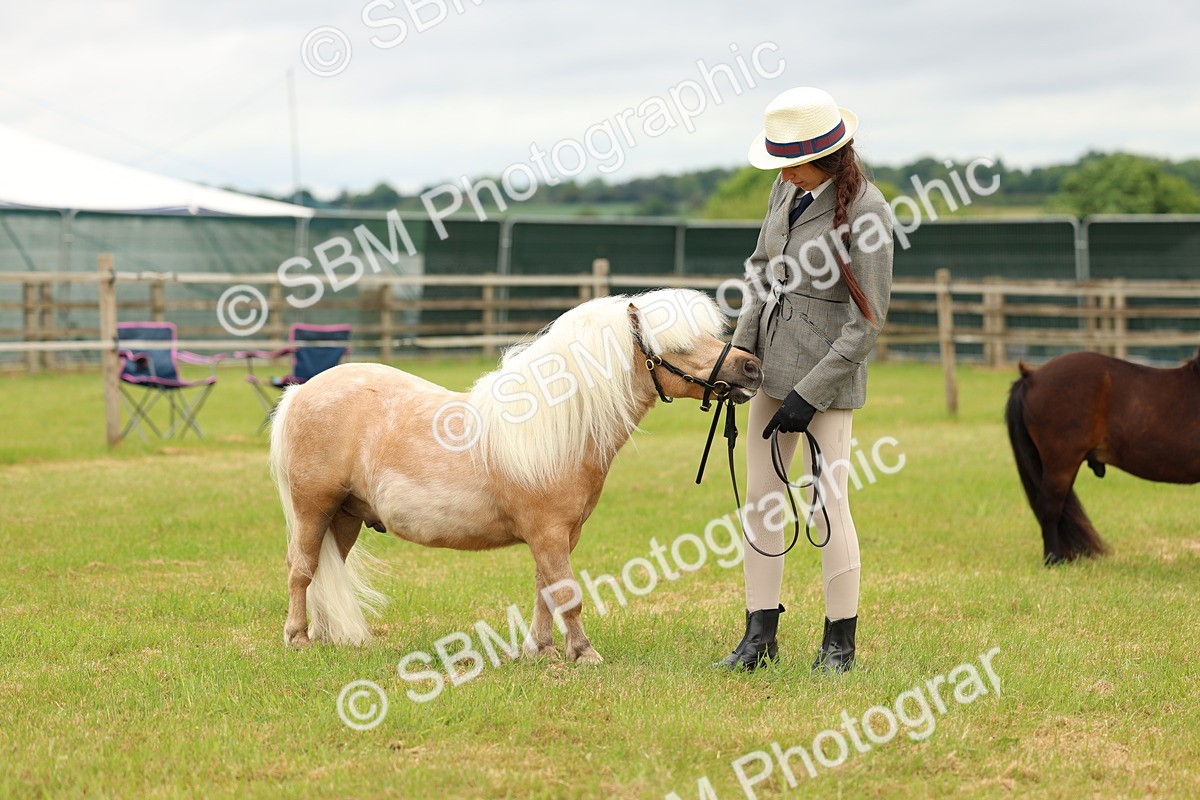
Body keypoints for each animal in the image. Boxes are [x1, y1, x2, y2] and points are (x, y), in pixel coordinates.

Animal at [269, 288, 763, 662]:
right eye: (677, 345)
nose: (752, 367)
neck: (559, 428)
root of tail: (300, 393)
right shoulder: (548, 533)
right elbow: (568, 594)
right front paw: (585, 653)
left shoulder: (560, 536)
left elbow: (546, 590)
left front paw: (542, 650)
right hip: (315, 509)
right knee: (301, 569)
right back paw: (298, 639)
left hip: (346, 516)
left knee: (326, 570)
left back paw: (329, 637)